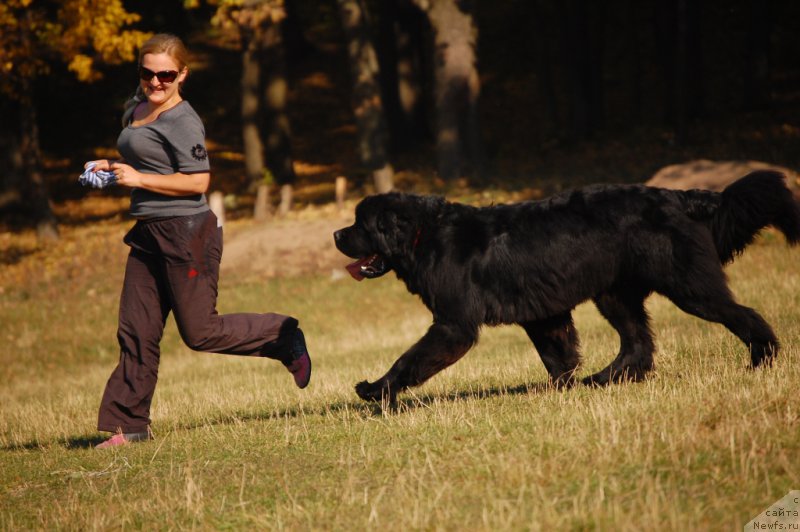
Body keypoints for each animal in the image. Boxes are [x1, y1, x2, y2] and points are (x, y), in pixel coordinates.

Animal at [332, 170, 800, 404]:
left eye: (360, 224)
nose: (336, 234)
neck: (423, 234)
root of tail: (680, 196)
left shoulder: (453, 325)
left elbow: (409, 359)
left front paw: (376, 391)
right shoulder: (543, 314)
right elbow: (557, 356)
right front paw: (561, 389)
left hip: (689, 287)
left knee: (744, 316)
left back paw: (762, 359)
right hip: (614, 294)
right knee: (638, 345)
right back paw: (605, 379)